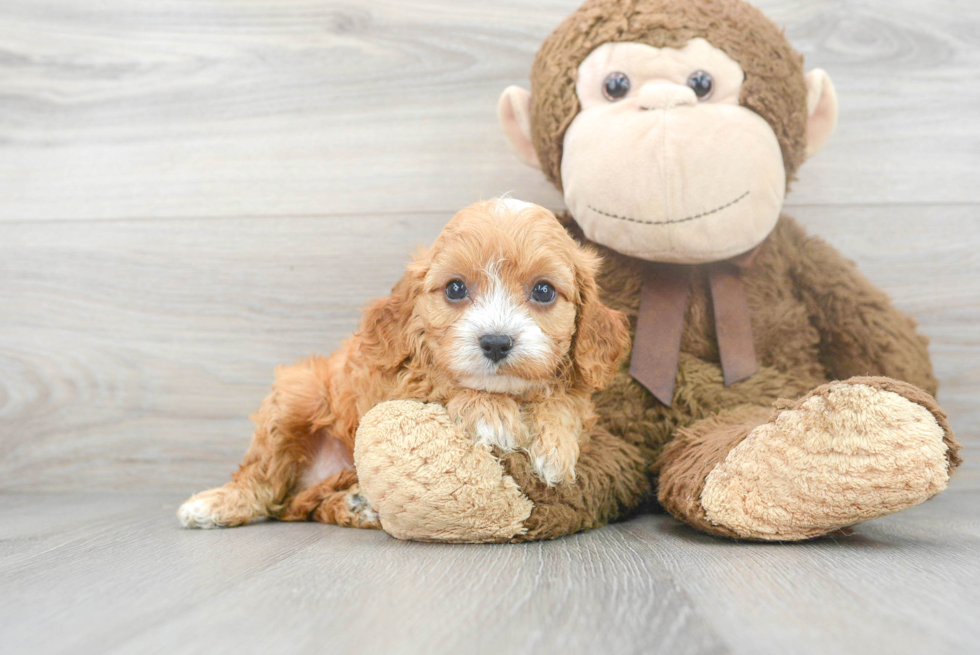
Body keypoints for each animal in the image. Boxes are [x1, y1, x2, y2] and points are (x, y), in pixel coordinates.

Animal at [180, 197, 632, 532]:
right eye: (455, 288)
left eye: (543, 291)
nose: (496, 342)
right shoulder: (388, 379)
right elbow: (442, 382)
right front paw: (491, 412)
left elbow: (564, 400)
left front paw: (555, 444)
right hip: (297, 393)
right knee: (263, 478)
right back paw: (217, 504)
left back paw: (355, 503)